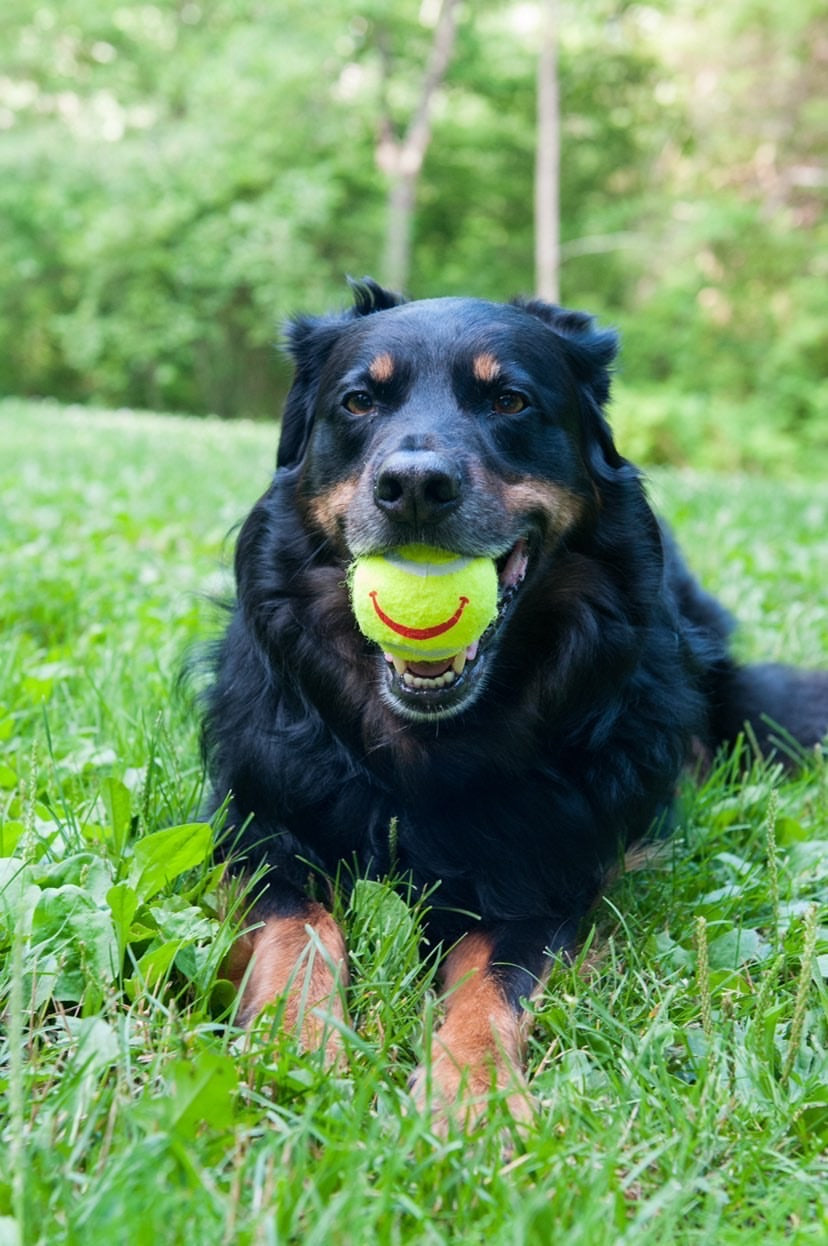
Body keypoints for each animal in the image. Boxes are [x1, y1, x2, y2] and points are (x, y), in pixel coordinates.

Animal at [201, 280, 826, 1131]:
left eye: (509, 401)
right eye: (359, 401)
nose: (415, 487)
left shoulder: (541, 876)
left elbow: (488, 980)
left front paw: (473, 1097)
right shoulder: (256, 835)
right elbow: (301, 932)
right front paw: (290, 1053)